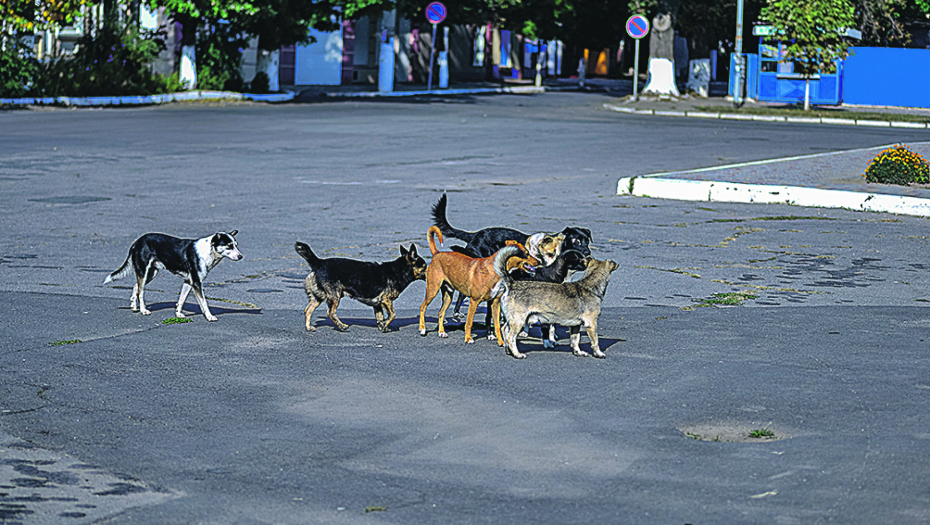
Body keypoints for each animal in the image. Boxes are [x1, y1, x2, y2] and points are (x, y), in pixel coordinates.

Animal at [105, 230, 243, 320]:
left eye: (236, 245)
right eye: (229, 246)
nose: (241, 256)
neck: (208, 252)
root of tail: (136, 242)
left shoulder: (188, 282)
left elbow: (181, 300)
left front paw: (178, 314)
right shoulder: (196, 283)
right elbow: (204, 302)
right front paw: (209, 316)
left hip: (150, 273)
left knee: (136, 287)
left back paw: (134, 307)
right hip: (144, 272)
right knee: (141, 291)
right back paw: (144, 310)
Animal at [296, 242, 426, 332]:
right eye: (425, 266)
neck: (400, 270)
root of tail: (318, 262)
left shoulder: (378, 304)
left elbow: (380, 317)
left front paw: (383, 327)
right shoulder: (386, 300)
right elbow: (393, 315)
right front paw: (385, 325)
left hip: (317, 297)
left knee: (308, 310)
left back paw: (309, 327)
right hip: (335, 296)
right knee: (330, 313)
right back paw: (342, 326)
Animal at [430, 193, 596, 324]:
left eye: (587, 240)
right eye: (576, 241)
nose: (587, 252)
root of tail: (474, 234)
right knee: (462, 293)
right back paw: (456, 314)